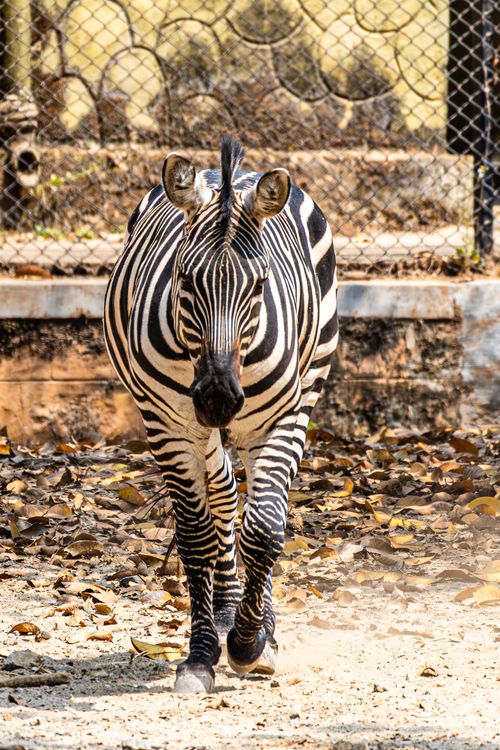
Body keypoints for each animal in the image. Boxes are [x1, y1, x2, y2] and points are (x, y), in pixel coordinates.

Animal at [104, 137, 338, 693]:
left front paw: (252, 642)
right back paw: (227, 611)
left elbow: (265, 529)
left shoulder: (281, 418)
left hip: (304, 384)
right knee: (225, 494)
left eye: (258, 285)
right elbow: (196, 538)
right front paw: (202, 653)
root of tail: (233, 175)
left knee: (250, 506)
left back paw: (255, 625)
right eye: (185, 280)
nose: (217, 399)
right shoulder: (169, 423)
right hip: (192, 428)